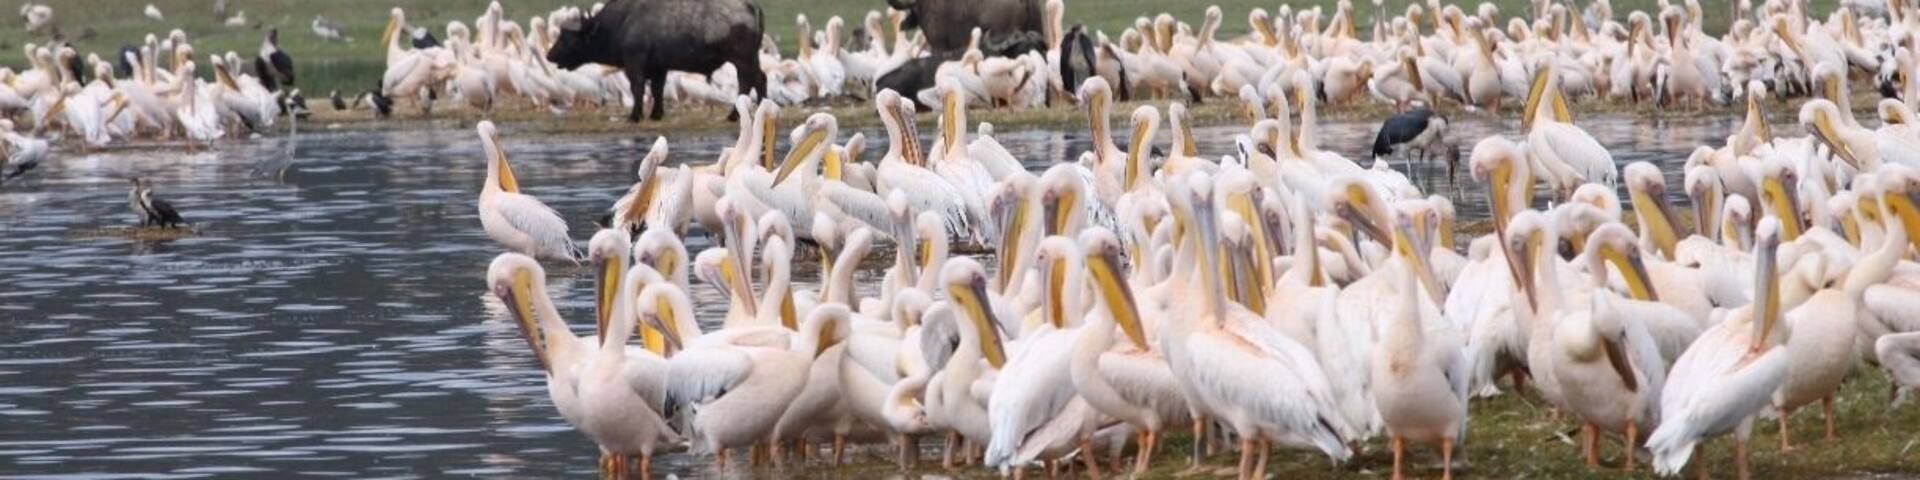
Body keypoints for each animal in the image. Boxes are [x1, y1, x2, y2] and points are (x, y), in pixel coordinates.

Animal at [547, 0, 768, 122]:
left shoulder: (634, 62)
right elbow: (657, 90)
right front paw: (656, 114)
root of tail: (749, 5)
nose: (550, 55)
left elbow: (637, 88)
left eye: (566, 37)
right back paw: (762, 105)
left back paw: (734, 115)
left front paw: (634, 116)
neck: (622, 22)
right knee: (761, 78)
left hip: (741, 59)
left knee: (746, 82)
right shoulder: (659, 67)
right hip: (752, 57)